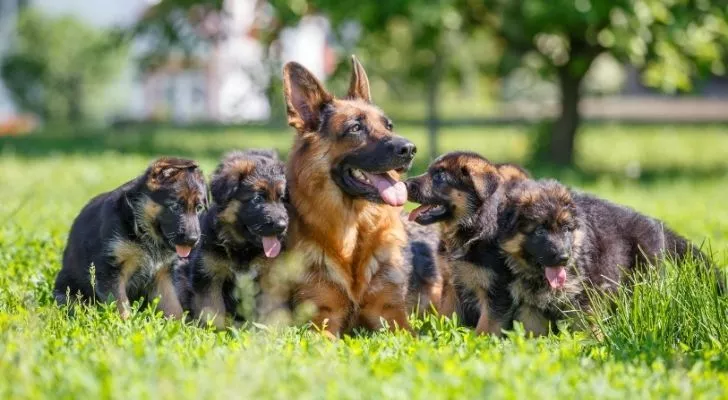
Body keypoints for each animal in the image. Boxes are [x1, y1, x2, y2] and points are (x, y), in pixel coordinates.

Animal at [53, 158, 208, 318]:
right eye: (175, 207)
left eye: (199, 208)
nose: (193, 240)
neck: (141, 227)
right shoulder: (110, 272)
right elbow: (121, 305)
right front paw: (126, 323)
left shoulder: (163, 275)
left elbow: (174, 307)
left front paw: (180, 324)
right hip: (67, 290)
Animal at [175, 150, 288, 328]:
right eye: (258, 199)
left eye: (282, 199)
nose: (281, 226)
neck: (243, 248)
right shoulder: (209, 276)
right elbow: (213, 309)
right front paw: (215, 329)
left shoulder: (269, 278)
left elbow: (268, 309)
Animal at [404, 151, 528, 334]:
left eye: (439, 177)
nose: (404, 184)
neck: (471, 231)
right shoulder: (451, 285)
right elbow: (445, 315)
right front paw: (440, 334)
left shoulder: (498, 291)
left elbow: (486, 326)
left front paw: (479, 339)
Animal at [500, 178, 704, 334]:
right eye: (539, 231)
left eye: (566, 229)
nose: (564, 258)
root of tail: (654, 222)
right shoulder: (529, 305)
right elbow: (531, 333)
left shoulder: (585, 297)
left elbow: (584, 329)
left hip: (642, 279)